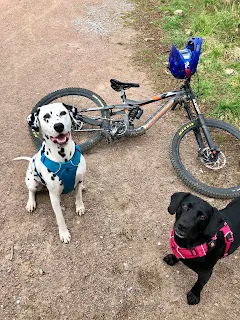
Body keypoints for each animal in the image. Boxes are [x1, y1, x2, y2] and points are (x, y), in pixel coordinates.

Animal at [14, 102, 86, 242]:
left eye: (63, 113)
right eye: (46, 116)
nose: (58, 126)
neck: (64, 160)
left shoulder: (79, 179)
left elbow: (79, 196)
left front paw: (80, 206)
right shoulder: (54, 197)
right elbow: (60, 218)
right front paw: (64, 233)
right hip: (32, 183)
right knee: (31, 191)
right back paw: (31, 203)